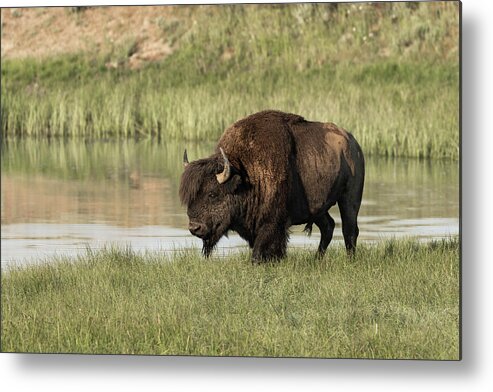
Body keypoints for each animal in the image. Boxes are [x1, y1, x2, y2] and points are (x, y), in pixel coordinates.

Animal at [179, 111, 364, 264]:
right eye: (190, 197)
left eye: (212, 194)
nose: (194, 228)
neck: (244, 171)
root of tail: (353, 143)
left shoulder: (272, 223)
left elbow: (260, 250)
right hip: (318, 209)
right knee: (328, 227)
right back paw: (316, 259)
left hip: (349, 199)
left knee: (349, 230)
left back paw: (350, 260)